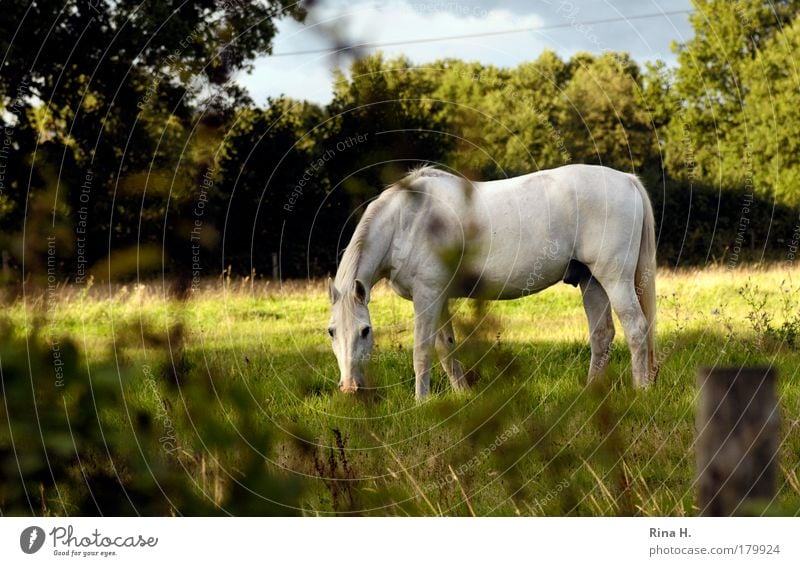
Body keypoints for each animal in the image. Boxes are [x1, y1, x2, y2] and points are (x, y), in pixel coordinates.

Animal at [326, 164, 656, 402]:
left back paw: (641, 391)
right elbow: (446, 348)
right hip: (591, 281)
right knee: (602, 335)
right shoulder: (439, 297)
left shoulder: (427, 295)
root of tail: (627, 180)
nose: (349, 388)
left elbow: (422, 351)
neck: (406, 222)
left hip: (615, 278)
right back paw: (591, 393)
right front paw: (463, 395)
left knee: (637, 329)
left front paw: (421, 403)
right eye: (331, 332)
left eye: (365, 331)